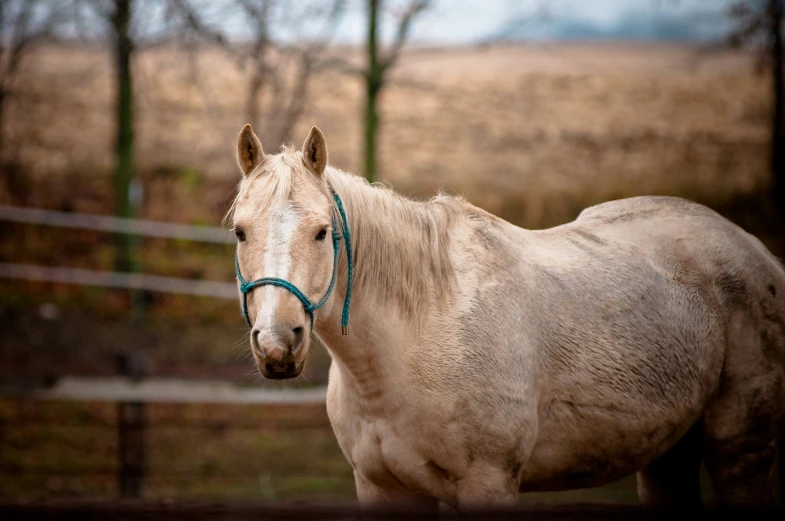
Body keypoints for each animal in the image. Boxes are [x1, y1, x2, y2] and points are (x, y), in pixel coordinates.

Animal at [227, 123, 784, 512]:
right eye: (240, 232)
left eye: (322, 232)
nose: (278, 342)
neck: (412, 341)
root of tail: (757, 251)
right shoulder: (382, 487)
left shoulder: (488, 481)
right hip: (667, 453)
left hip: (740, 451)